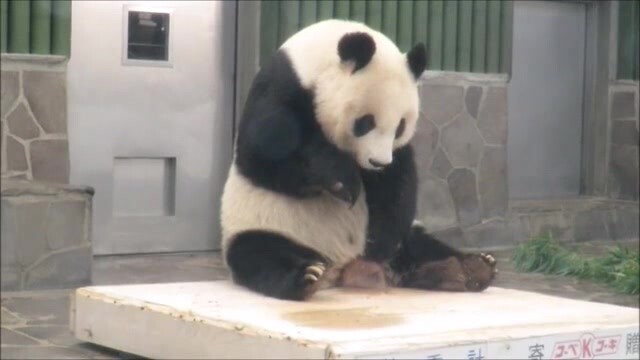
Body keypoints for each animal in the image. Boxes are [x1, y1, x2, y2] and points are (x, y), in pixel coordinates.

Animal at [222, 19, 498, 300]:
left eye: (400, 126)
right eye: (365, 122)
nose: (378, 163)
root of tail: (345, 267)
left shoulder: (395, 155)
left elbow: (398, 184)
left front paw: (382, 238)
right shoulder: (279, 89)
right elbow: (264, 157)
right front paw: (342, 180)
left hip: (408, 238)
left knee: (420, 245)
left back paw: (468, 268)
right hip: (271, 225)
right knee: (261, 254)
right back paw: (306, 276)